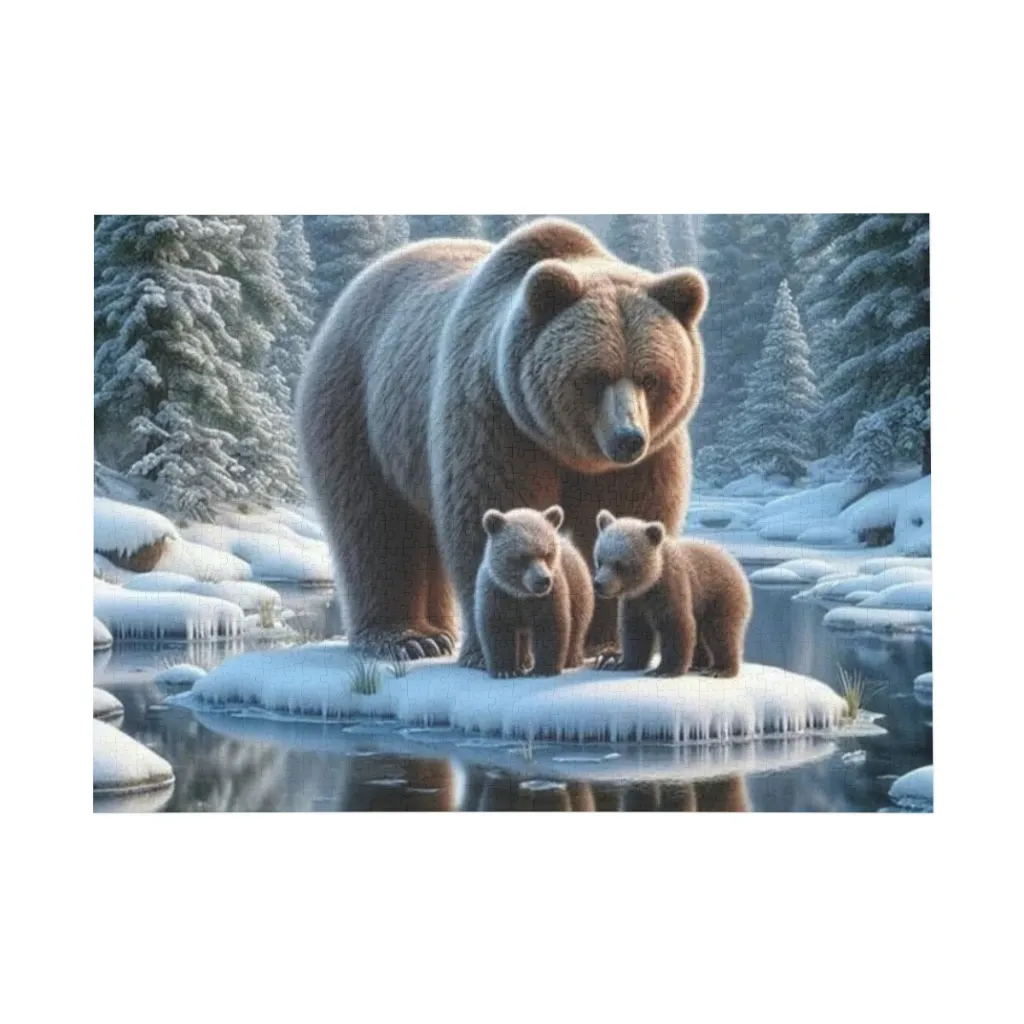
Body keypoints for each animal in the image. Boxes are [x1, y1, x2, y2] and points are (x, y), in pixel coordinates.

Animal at [474, 505, 594, 678]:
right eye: (522, 557)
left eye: (547, 553)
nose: (543, 580)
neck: (522, 594)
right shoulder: (497, 594)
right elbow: (497, 630)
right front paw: (505, 670)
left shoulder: (550, 597)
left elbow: (551, 627)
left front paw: (543, 669)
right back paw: (524, 662)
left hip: (577, 587)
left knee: (577, 625)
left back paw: (571, 659)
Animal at [592, 510, 752, 677]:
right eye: (600, 560)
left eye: (620, 565)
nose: (599, 584)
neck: (649, 584)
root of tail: (734, 562)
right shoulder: (634, 601)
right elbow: (635, 630)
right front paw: (623, 663)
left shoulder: (671, 586)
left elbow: (675, 624)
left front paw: (664, 670)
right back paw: (698, 664)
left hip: (719, 595)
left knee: (721, 631)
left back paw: (720, 669)